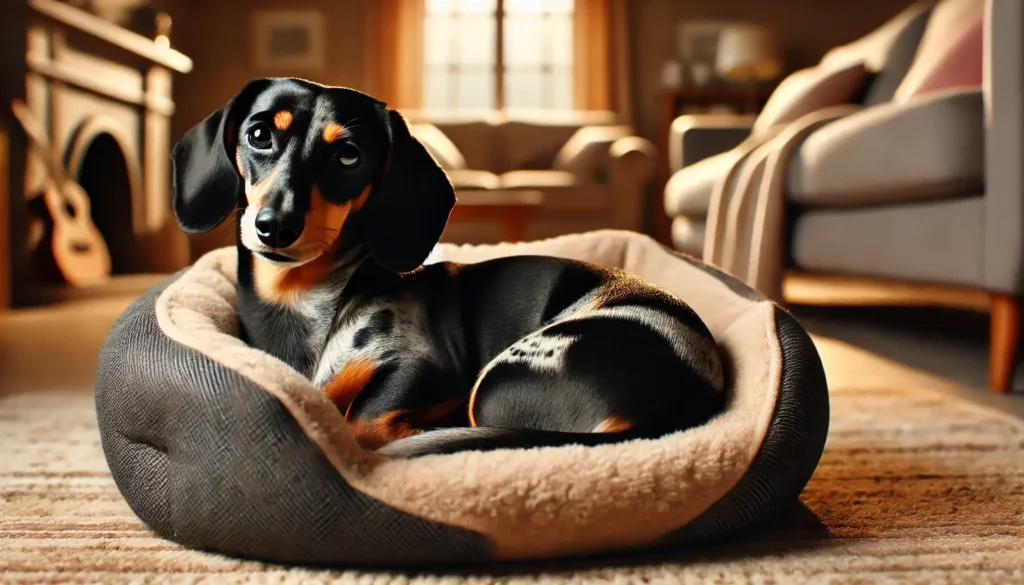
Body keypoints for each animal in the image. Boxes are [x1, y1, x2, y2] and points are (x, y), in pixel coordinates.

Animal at [169, 77, 729, 456]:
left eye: (349, 155)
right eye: (259, 134)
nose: (275, 225)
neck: (304, 305)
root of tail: (671, 406)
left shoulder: (425, 368)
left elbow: (361, 421)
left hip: (497, 383)